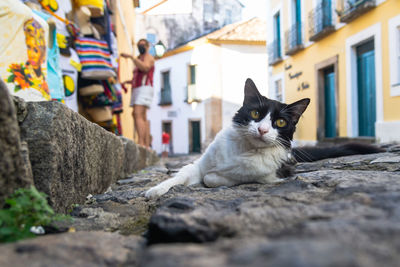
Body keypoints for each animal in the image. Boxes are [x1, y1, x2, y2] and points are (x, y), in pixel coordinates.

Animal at [145, 78, 310, 199]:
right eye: (255, 113)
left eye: (281, 122)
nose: (262, 130)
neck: (245, 148)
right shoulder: (199, 164)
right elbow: (180, 175)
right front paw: (156, 190)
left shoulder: (271, 175)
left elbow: (212, 178)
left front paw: (212, 176)